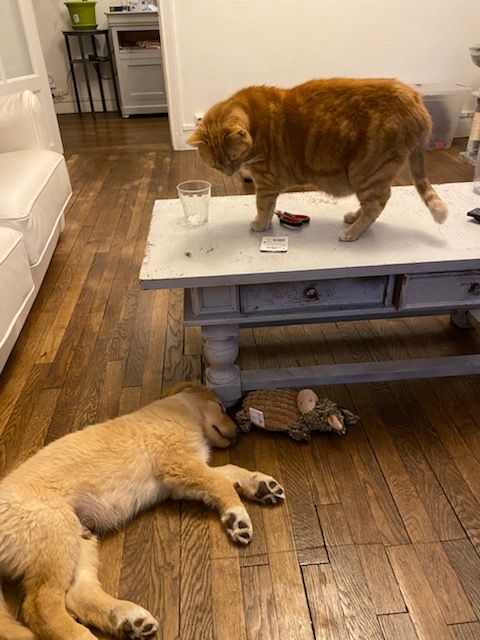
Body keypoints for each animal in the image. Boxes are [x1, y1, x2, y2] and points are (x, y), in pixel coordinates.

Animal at [0, 382, 285, 640]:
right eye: (221, 407)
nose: (237, 433)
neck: (184, 409)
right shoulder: (179, 463)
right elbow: (222, 483)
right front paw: (237, 518)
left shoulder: (180, 480)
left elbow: (228, 473)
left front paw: (260, 485)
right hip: (56, 531)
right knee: (41, 606)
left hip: (81, 537)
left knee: (78, 594)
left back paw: (128, 619)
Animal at [187, 78, 448, 241]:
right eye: (216, 164)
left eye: (233, 158)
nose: (229, 173)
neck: (255, 122)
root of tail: (415, 98)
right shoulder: (267, 184)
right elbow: (269, 209)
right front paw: (267, 223)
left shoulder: (265, 182)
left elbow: (262, 206)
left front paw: (260, 226)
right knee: (374, 203)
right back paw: (353, 217)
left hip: (366, 171)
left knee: (377, 203)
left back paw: (352, 232)